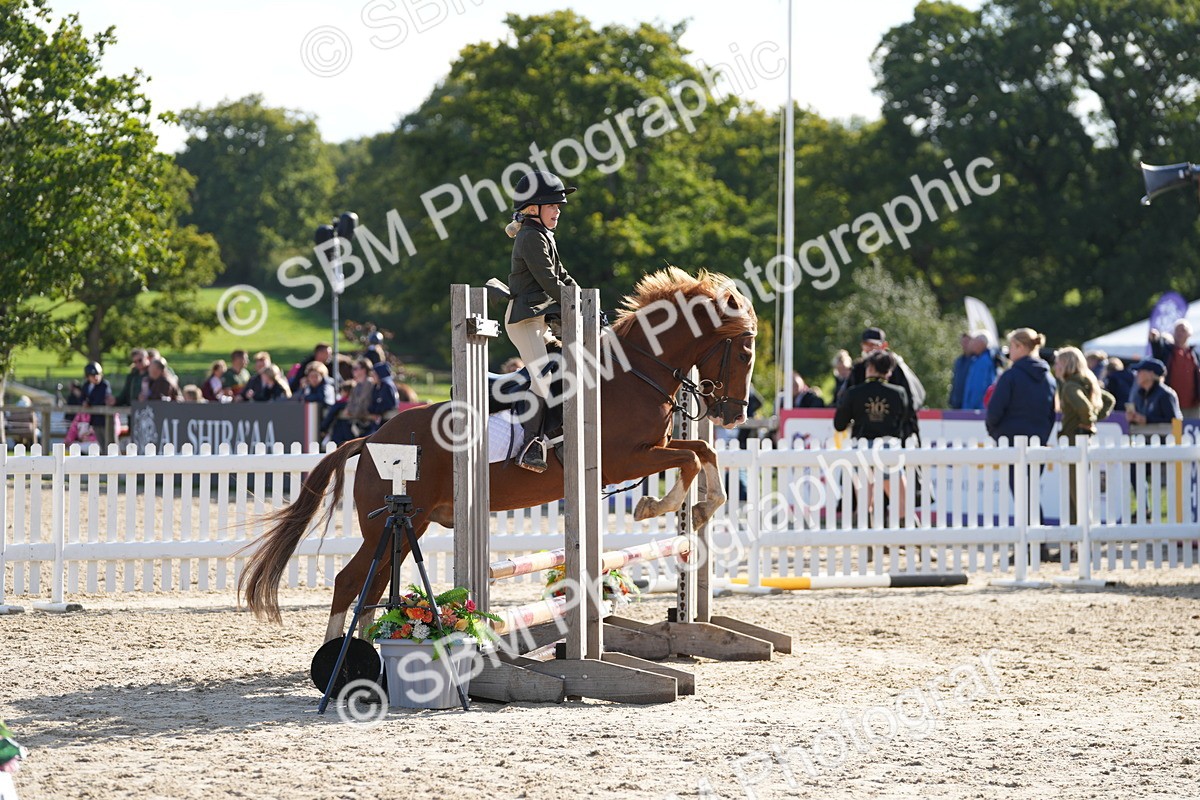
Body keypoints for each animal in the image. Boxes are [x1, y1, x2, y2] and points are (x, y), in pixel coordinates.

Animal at [240, 267, 758, 642]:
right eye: (745, 353)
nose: (734, 414)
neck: (634, 373)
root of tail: (369, 440)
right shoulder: (622, 460)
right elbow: (690, 460)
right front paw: (658, 506)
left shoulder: (649, 450)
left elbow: (701, 450)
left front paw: (703, 508)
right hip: (394, 522)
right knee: (351, 582)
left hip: (409, 525)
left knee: (372, 584)